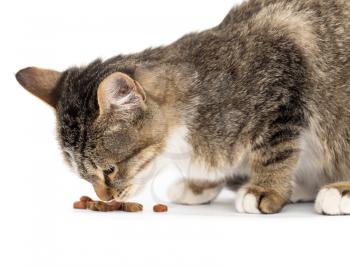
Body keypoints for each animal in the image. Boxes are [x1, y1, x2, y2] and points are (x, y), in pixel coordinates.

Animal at [16, 0, 350, 215]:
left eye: (108, 170)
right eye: (85, 176)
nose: (105, 198)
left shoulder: (282, 85)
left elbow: (274, 152)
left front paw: (264, 189)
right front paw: (199, 184)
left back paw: (337, 190)